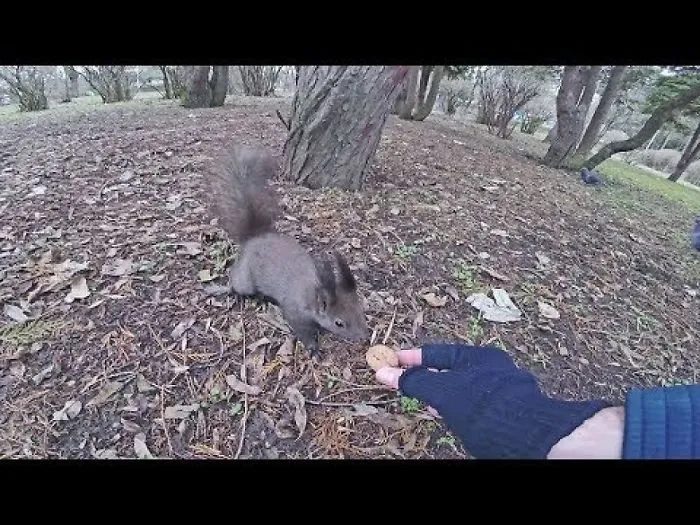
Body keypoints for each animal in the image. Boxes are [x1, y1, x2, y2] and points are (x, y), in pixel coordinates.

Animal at [204, 143, 370, 356]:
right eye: (339, 323)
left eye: (360, 310)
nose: (364, 337)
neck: (313, 293)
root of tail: (255, 238)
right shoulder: (294, 312)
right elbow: (301, 330)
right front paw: (313, 348)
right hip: (245, 280)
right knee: (236, 285)